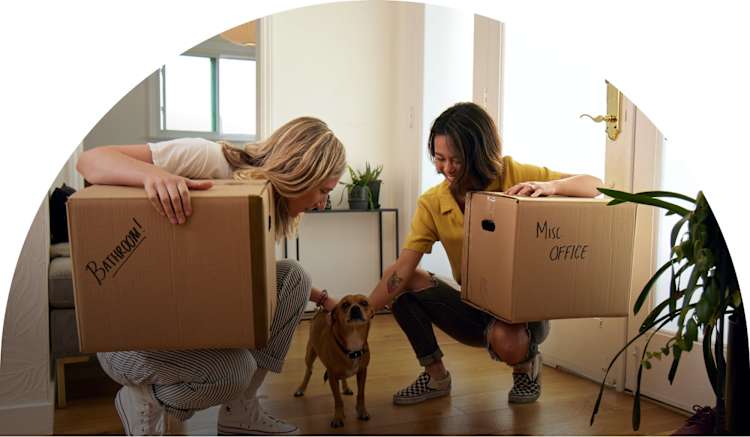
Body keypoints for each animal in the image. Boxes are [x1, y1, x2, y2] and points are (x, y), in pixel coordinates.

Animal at [294, 292, 376, 426]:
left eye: (364, 303)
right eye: (345, 305)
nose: (355, 308)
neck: (353, 339)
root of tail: (321, 310)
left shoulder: (362, 372)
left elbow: (361, 394)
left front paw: (362, 411)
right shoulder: (332, 376)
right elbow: (338, 399)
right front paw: (338, 417)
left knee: (342, 377)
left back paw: (346, 387)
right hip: (310, 354)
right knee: (308, 371)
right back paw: (301, 388)